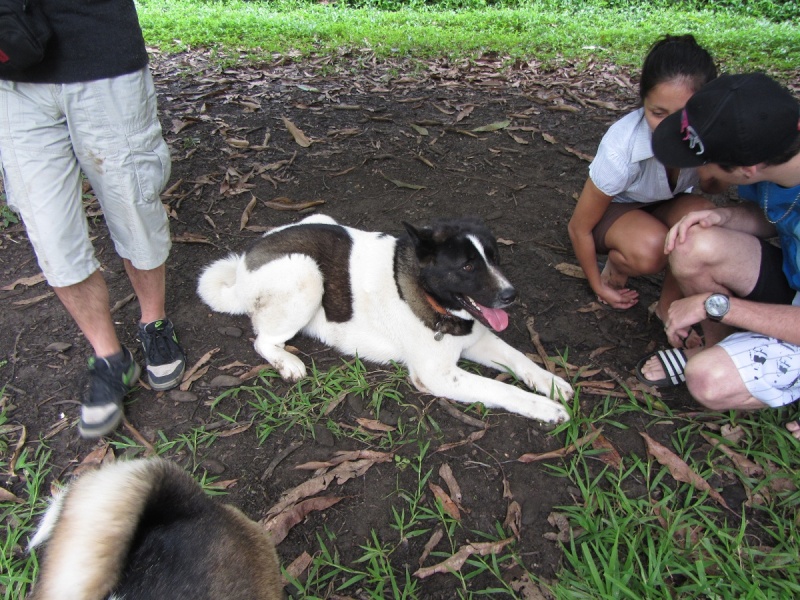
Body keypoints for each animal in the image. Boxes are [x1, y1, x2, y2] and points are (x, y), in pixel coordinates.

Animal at [197, 216, 572, 422]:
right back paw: (286, 362)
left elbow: (520, 358)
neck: (427, 295)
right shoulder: (438, 376)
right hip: (306, 273)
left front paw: (552, 383)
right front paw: (546, 409)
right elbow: (501, 389)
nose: (511, 294)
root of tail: (244, 262)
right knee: (262, 340)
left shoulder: (476, 340)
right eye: (467, 266)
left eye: (494, 258)